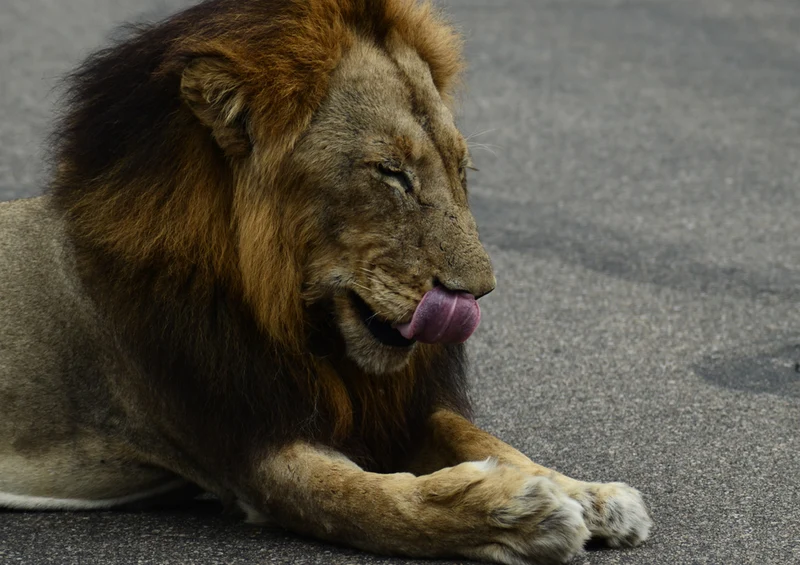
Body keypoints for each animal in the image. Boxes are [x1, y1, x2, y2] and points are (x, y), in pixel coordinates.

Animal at [0, 0, 652, 563]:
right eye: (391, 173)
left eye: (461, 168)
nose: (478, 293)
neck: (285, 313)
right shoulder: (252, 447)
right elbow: (372, 503)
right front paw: (517, 513)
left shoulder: (385, 405)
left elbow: (480, 436)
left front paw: (591, 494)